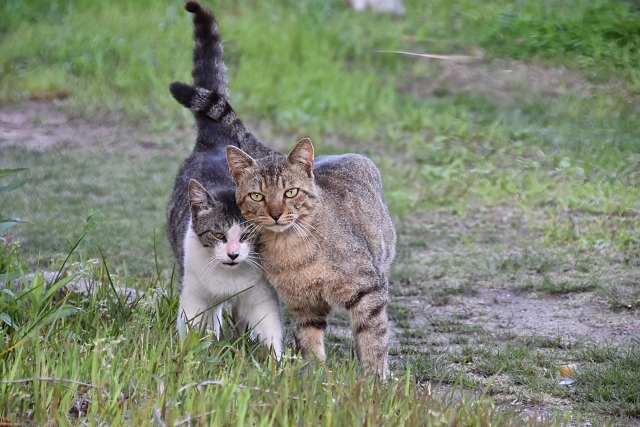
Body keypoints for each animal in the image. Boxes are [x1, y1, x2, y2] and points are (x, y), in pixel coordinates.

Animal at [166, 0, 284, 358]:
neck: (228, 282)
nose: (232, 254)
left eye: (246, 236)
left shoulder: (262, 297)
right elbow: (191, 330)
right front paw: (192, 355)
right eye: (218, 234)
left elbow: (271, 332)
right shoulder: (193, 296)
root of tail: (214, 140)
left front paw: (277, 363)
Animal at [225, 140, 396, 378]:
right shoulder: (305, 305)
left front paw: (374, 379)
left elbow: (374, 339)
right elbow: (310, 343)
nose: (276, 214)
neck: (290, 248)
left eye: (291, 192)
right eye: (257, 196)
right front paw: (313, 376)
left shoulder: (370, 290)